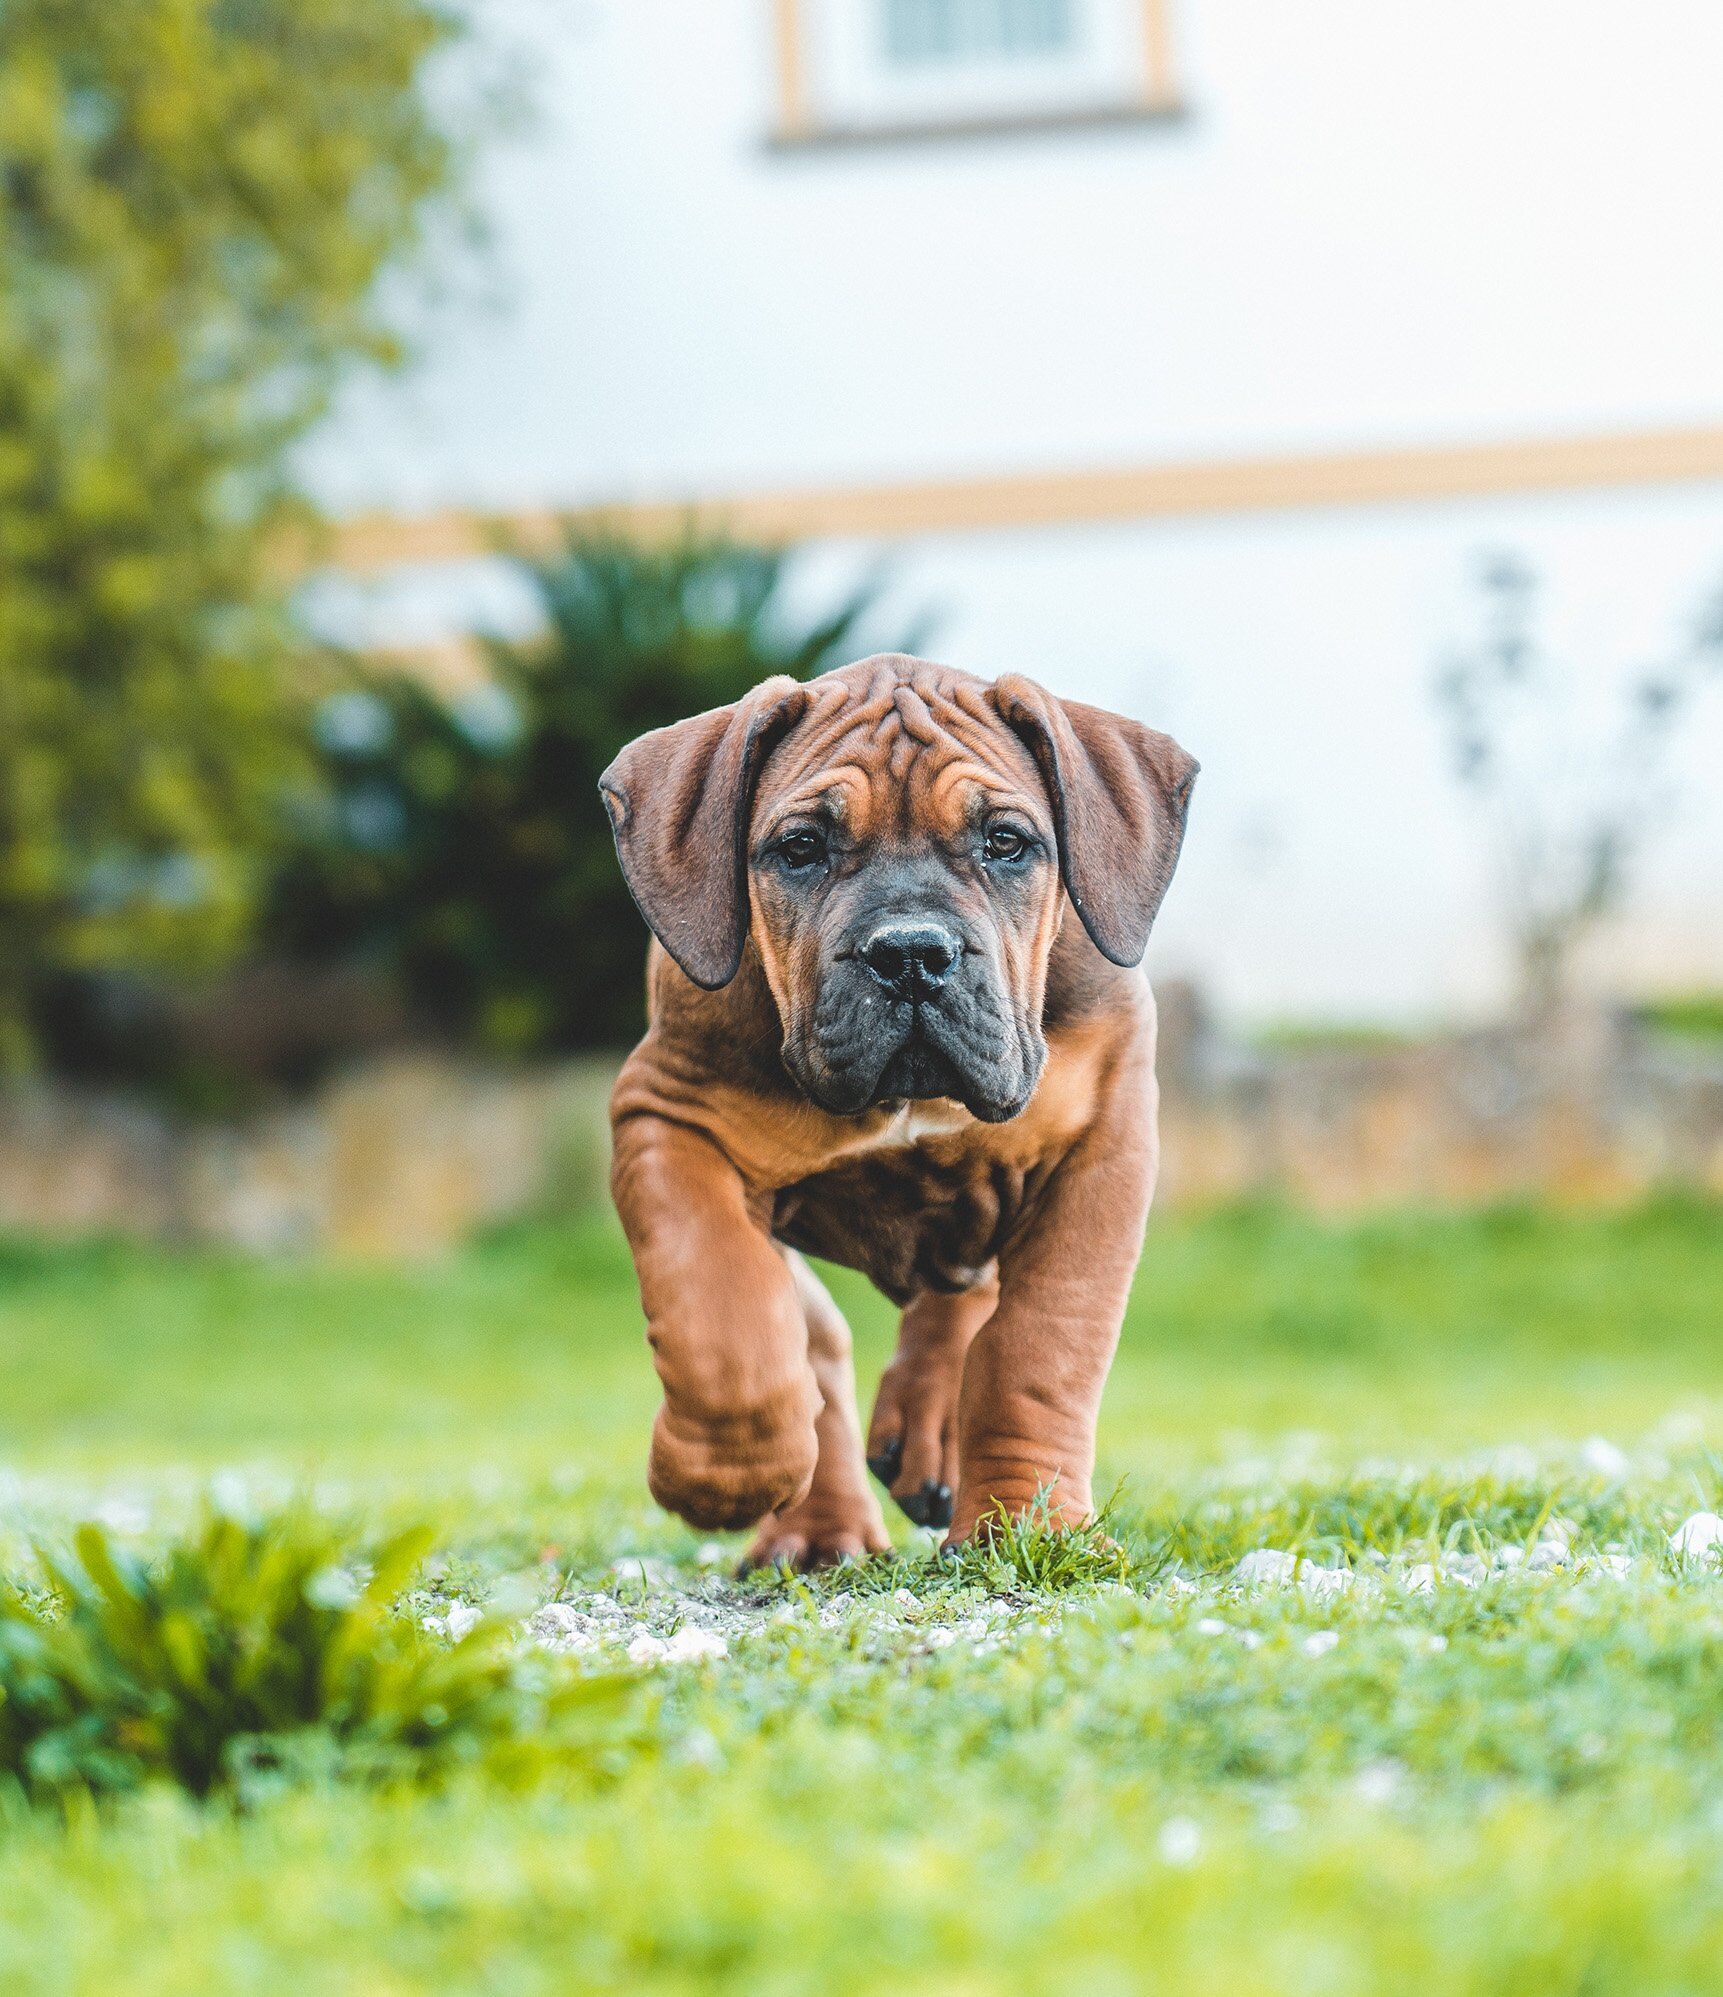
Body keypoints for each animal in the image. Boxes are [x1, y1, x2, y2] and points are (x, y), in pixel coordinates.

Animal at [606, 651, 1197, 1557]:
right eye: (802, 848)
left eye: (1005, 842)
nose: (911, 952)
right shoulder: (667, 1120)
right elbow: (724, 1321)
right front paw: (717, 1476)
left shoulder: (1102, 1144)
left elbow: (1038, 1348)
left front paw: (1025, 1521)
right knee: (810, 1335)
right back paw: (819, 1529)